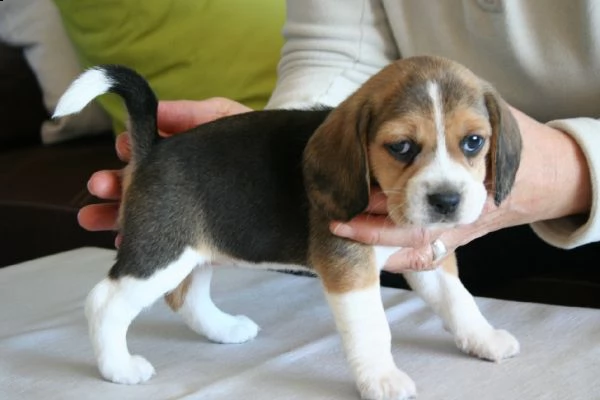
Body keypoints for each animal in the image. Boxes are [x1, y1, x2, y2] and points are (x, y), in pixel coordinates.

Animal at [55, 55, 520, 400]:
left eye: (474, 142)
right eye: (401, 147)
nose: (447, 201)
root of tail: (155, 147)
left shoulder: (426, 256)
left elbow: (459, 301)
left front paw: (484, 339)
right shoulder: (349, 268)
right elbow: (372, 328)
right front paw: (381, 379)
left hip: (195, 250)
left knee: (186, 297)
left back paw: (225, 329)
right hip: (162, 252)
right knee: (104, 303)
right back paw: (118, 367)